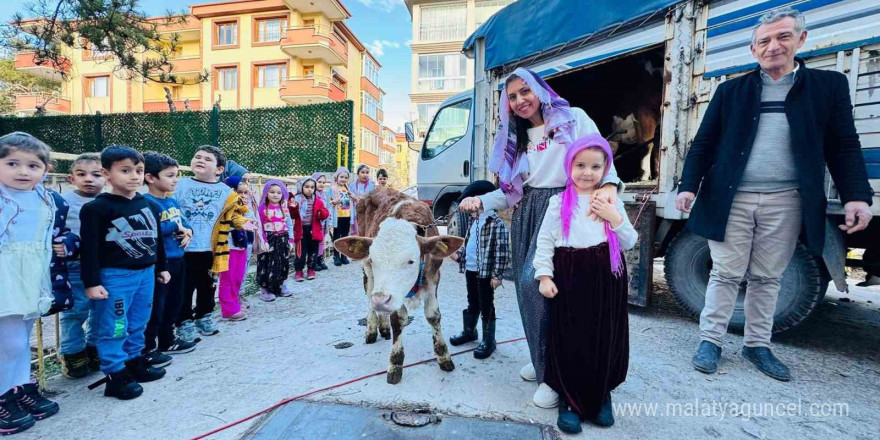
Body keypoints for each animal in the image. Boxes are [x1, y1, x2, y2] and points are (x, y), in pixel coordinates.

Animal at [334, 187, 464, 384]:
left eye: (411, 261)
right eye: (374, 259)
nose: (380, 301)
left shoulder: (434, 277)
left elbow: (433, 316)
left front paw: (443, 356)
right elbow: (398, 320)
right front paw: (395, 364)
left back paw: (383, 327)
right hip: (368, 274)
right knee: (369, 293)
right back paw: (372, 329)